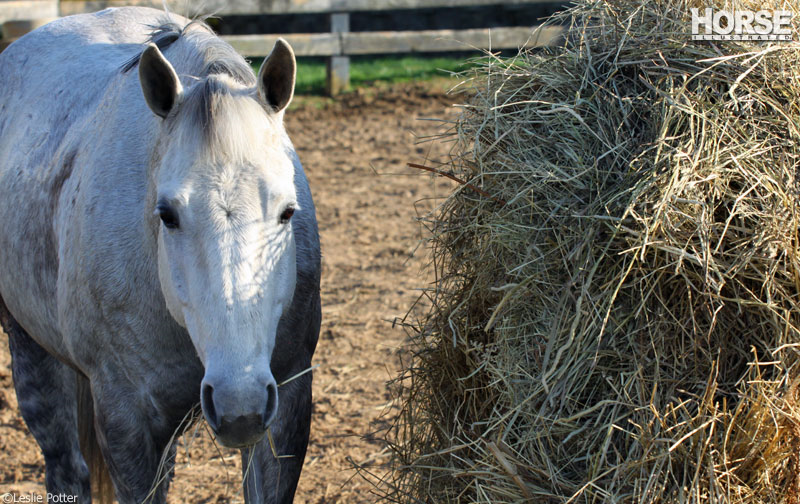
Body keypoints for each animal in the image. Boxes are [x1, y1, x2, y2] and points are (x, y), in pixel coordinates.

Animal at [0, 7, 320, 504]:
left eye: (288, 211)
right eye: (167, 215)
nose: (240, 405)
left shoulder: (286, 401)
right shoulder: (126, 422)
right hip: (31, 350)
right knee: (66, 470)